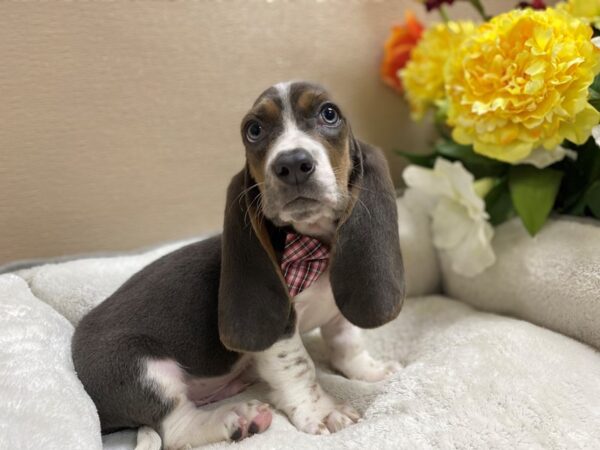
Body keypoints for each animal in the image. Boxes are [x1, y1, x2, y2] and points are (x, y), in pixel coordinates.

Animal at [72, 81, 406, 450]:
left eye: (329, 113)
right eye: (253, 130)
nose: (292, 163)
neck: (315, 247)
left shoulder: (339, 306)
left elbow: (348, 343)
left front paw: (371, 371)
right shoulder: (280, 330)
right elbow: (299, 367)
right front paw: (324, 412)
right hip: (141, 369)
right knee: (175, 428)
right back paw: (238, 419)